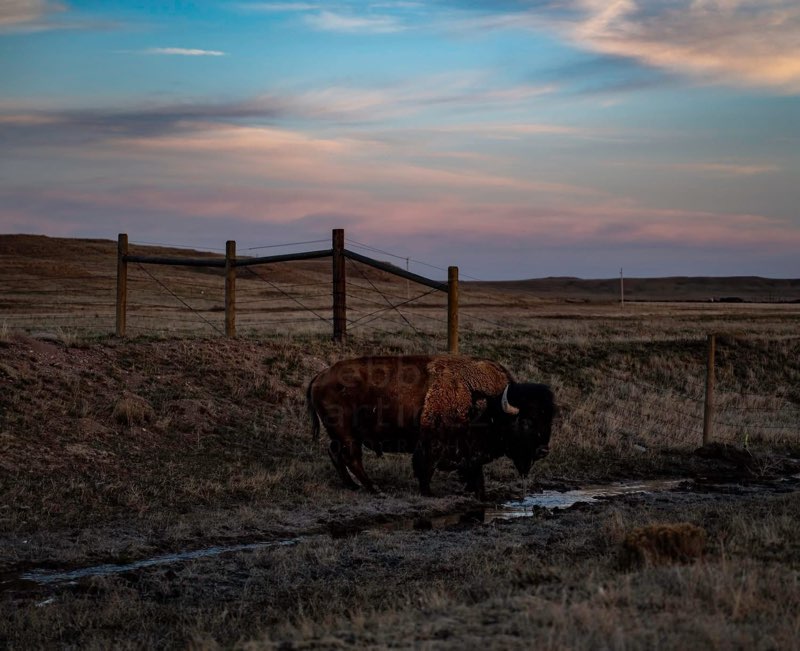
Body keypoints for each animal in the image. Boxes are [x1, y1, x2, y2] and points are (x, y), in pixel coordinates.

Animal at [306, 355, 554, 499]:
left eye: (548, 419)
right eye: (526, 421)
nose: (543, 451)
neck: (486, 404)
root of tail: (320, 375)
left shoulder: (471, 451)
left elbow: (475, 471)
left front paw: (475, 490)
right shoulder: (432, 444)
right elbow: (426, 468)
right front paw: (429, 492)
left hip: (340, 435)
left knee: (337, 454)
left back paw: (353, 486)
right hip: (346, 433)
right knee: (352, 458)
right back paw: (375, 489)